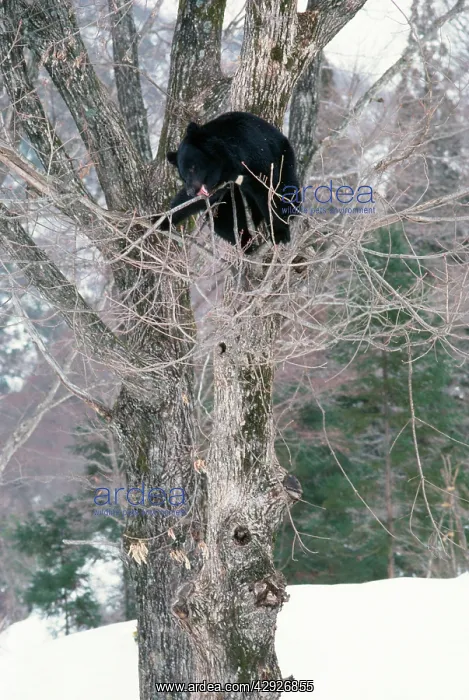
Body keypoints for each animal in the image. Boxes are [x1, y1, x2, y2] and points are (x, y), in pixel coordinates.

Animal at [161, 111, 300, 253]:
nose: (192, 191)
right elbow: (190, 202)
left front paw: (279, 233)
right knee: (224, 220)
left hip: (284, 157)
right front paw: (163, 220)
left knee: (287, 185)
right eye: (182, 176)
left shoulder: (254, 153)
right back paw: (246, 244)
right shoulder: (222, 183)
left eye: (192, 168)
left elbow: (267, 187)